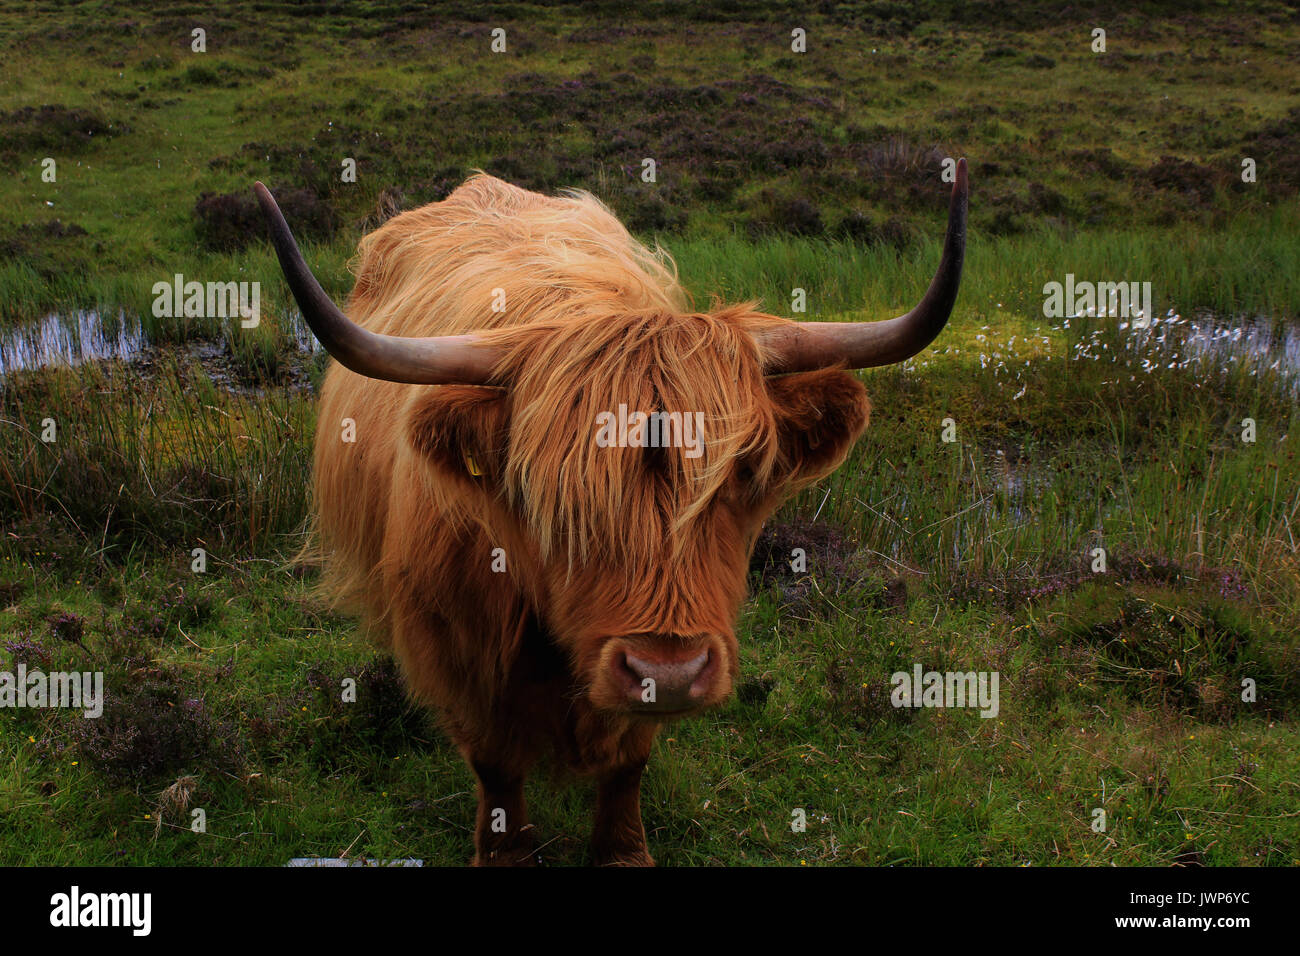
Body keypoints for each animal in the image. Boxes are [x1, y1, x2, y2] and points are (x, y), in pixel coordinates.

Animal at [253, 159, 967, 865]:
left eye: (739, 472)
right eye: (545, 487)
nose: (667, 673)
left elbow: (628, 763)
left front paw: (622, 853)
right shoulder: (457, 651)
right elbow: (495, 766)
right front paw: (505, 853)